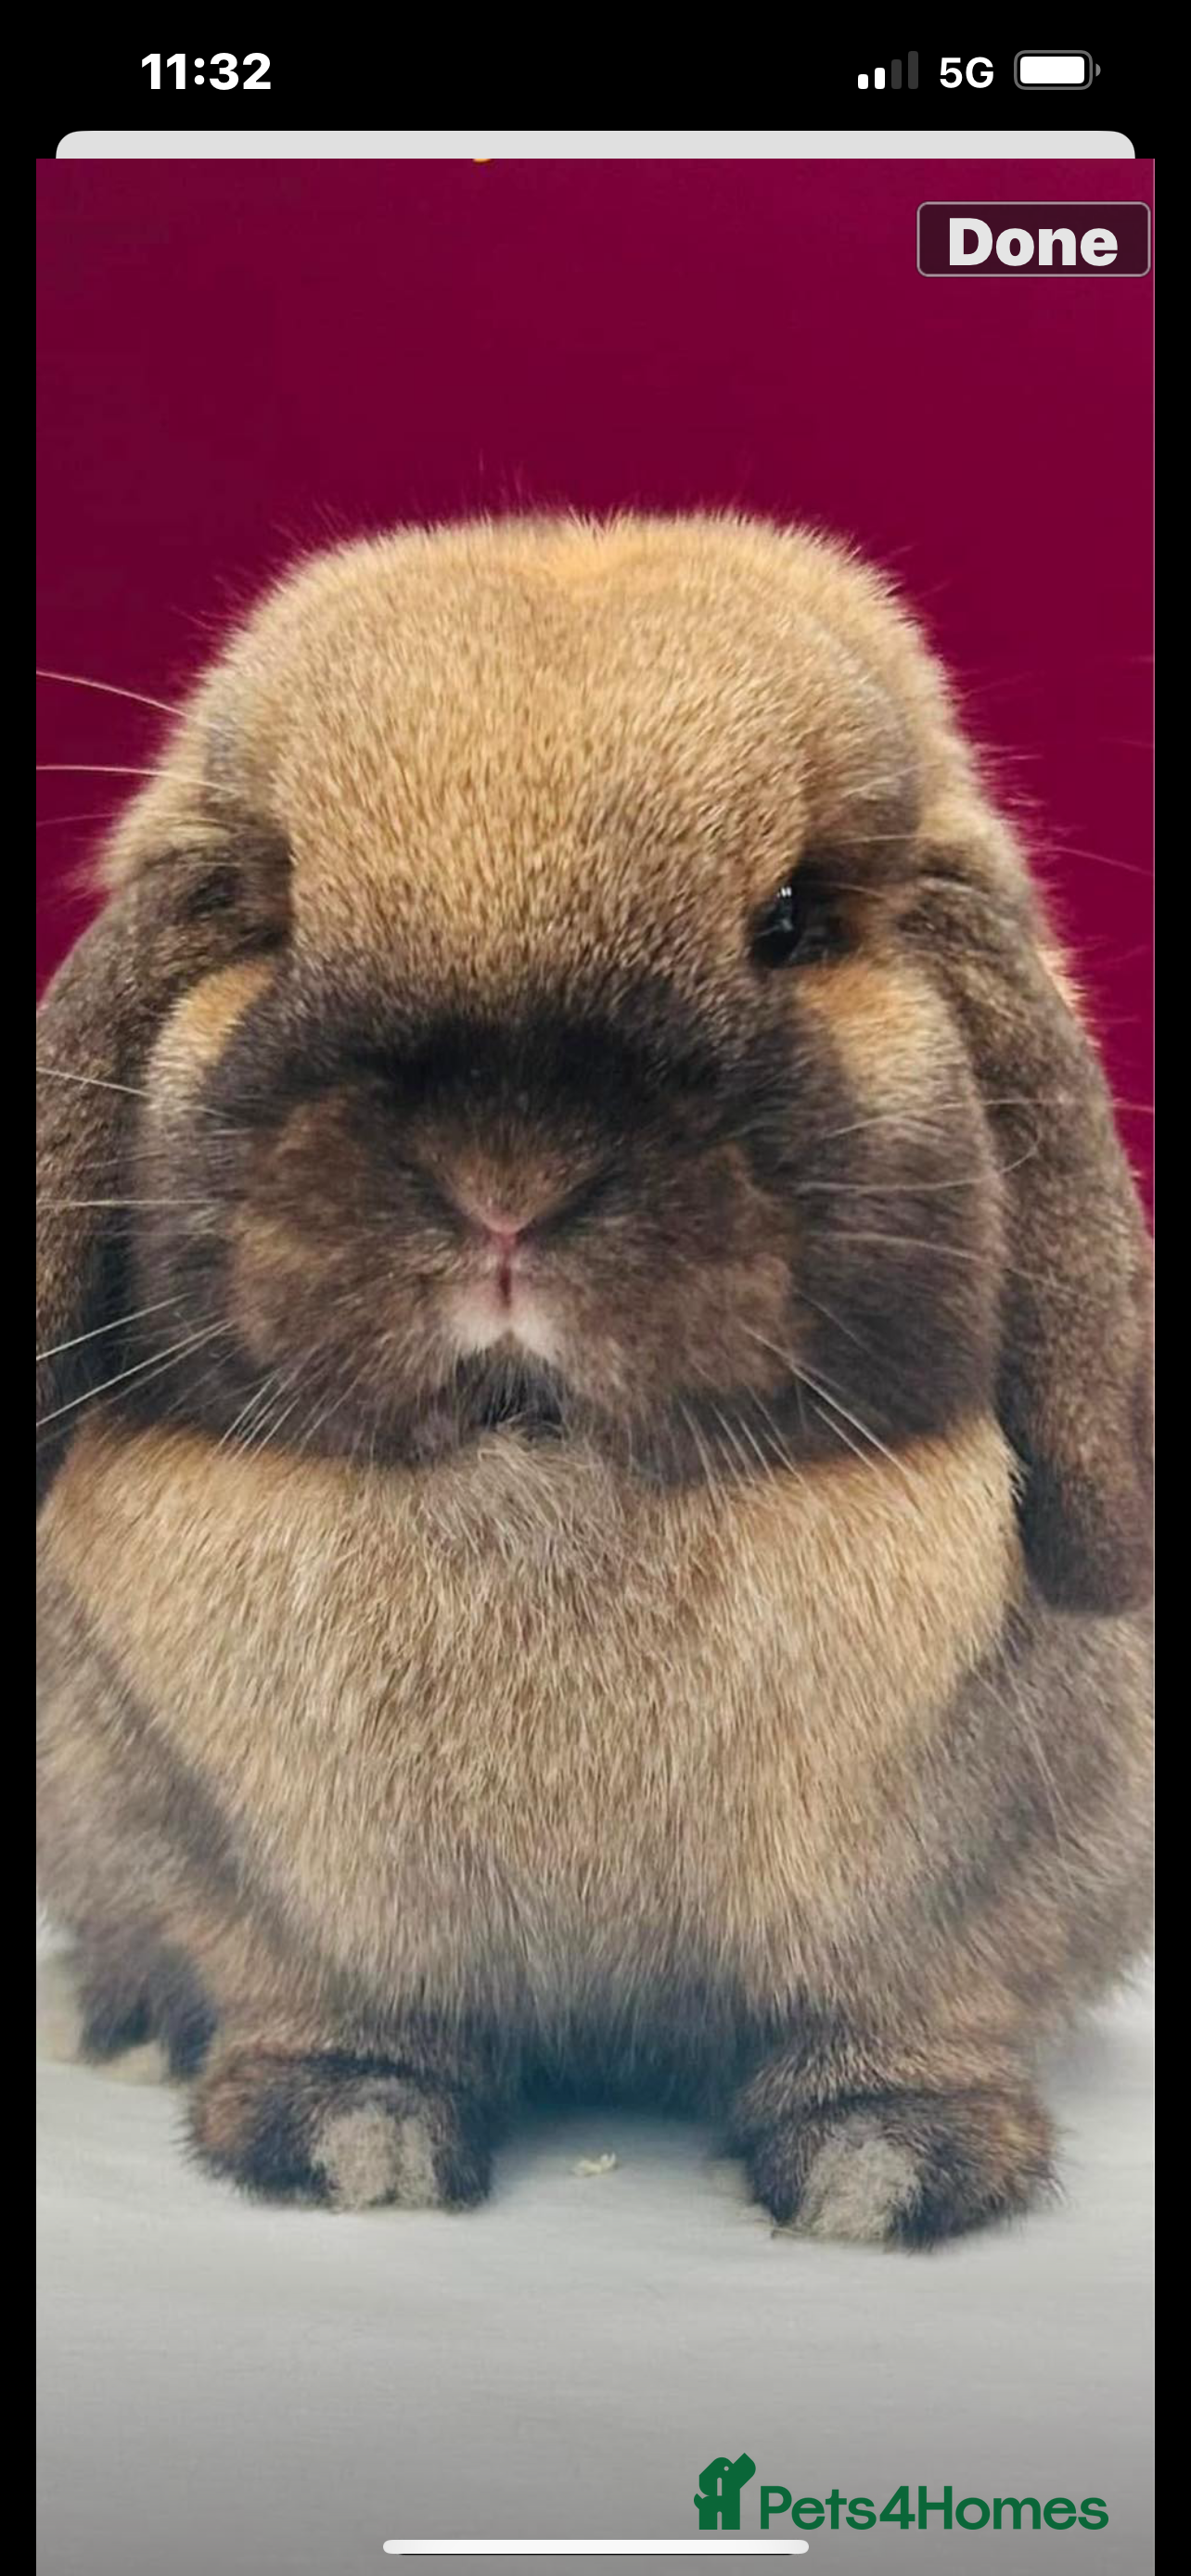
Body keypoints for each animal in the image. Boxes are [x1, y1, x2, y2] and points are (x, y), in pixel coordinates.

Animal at [36, 512, 1153, 2242]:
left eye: (792, 921)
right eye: (271, 915)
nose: (507, 1183)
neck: (543, 1475)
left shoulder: (951, 1907)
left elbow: (902, 2016)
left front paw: (885, 2168)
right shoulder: (290, 1899)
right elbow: (328, 2004)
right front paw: (347, 2137)